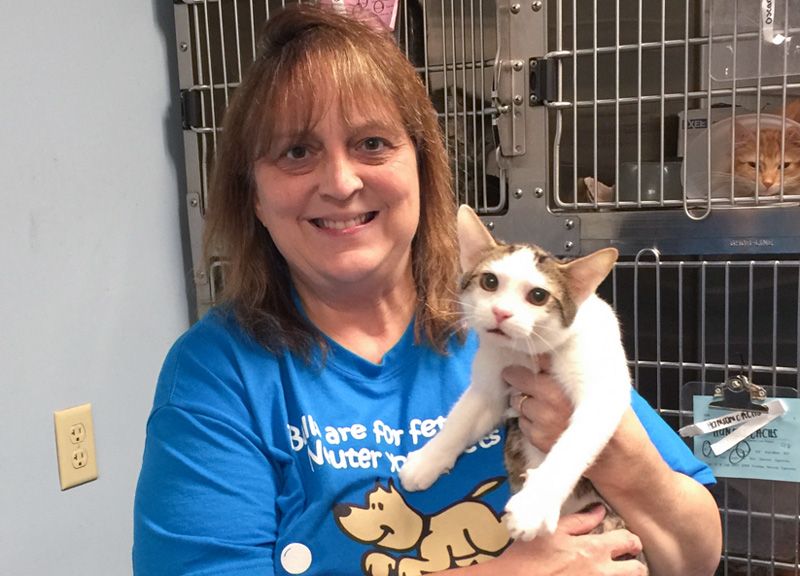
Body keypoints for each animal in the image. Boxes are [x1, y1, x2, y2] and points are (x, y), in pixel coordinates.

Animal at [404, 206, 640, 560]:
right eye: (489, 281)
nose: (501, 312)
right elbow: (462, 419)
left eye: (538, 296)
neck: (528, 351)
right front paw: (426, 461)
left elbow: (573, 444)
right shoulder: (493, 379)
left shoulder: (602, 386)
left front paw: (534, 505)